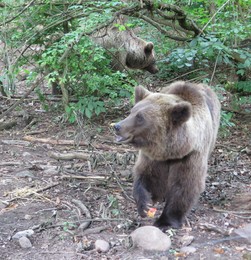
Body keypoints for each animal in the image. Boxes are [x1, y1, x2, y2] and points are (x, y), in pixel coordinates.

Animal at [114, 81, 222, 230]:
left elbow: (185, 184)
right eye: (132, 112)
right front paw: (145, 204)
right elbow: (147, 176)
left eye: (140, 117)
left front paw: (165, 221)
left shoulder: (191, 155)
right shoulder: (153, 157)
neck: (172, 151)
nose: (117, 126)